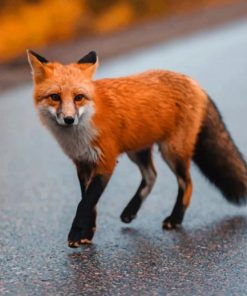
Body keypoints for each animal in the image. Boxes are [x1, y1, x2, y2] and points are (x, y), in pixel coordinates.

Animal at [27, 49, 247, 247]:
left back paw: (175, 219)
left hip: (171, 151)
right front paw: (87, 234)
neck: (82, 131)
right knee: (152, 176)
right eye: (55, 97)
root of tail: (195, 83)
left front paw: (76, 233)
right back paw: (131, 211)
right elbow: (90, 203)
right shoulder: (83, 163)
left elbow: (86, 202)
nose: (69, 119)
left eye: (78, 97)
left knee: (187, 183)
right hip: (137, 151)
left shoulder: (105, 161)